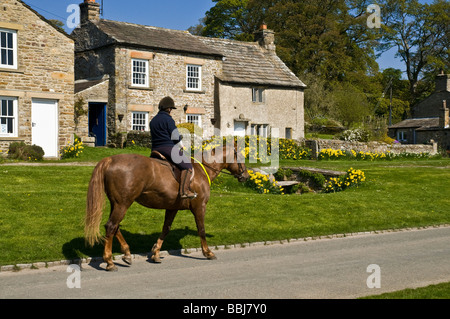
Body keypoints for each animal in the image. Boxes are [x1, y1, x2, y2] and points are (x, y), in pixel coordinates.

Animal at [84, 145, 250, 272]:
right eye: (241, 157)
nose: (247, 176)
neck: (202, 170)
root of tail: (110, 159)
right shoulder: (199, 206)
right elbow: (201, 229)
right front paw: (208, 252)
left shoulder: (172, 208)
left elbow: (166, 229)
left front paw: (156, 253)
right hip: (123, 204)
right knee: (111, 226)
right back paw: (110, 262)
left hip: (117, 203)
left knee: (115, 226)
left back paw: (126, 253)